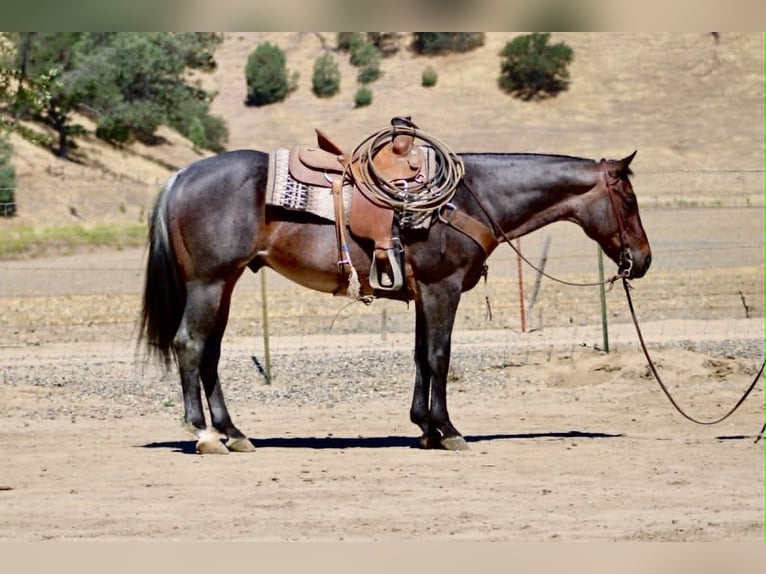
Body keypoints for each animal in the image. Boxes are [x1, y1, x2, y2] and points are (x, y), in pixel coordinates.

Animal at [140, 147, 651, 454]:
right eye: (628, 200)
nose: (642, 260)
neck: (468, 198)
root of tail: (181, 175)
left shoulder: (425, 292)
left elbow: (421, 357)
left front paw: (424, 428)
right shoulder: (443, 287)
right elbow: (440, 356)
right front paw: (448, 431)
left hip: (224, 285)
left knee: (210, 352)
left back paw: (234, 433)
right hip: (208, 283)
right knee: (190, 345)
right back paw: (204, 433)